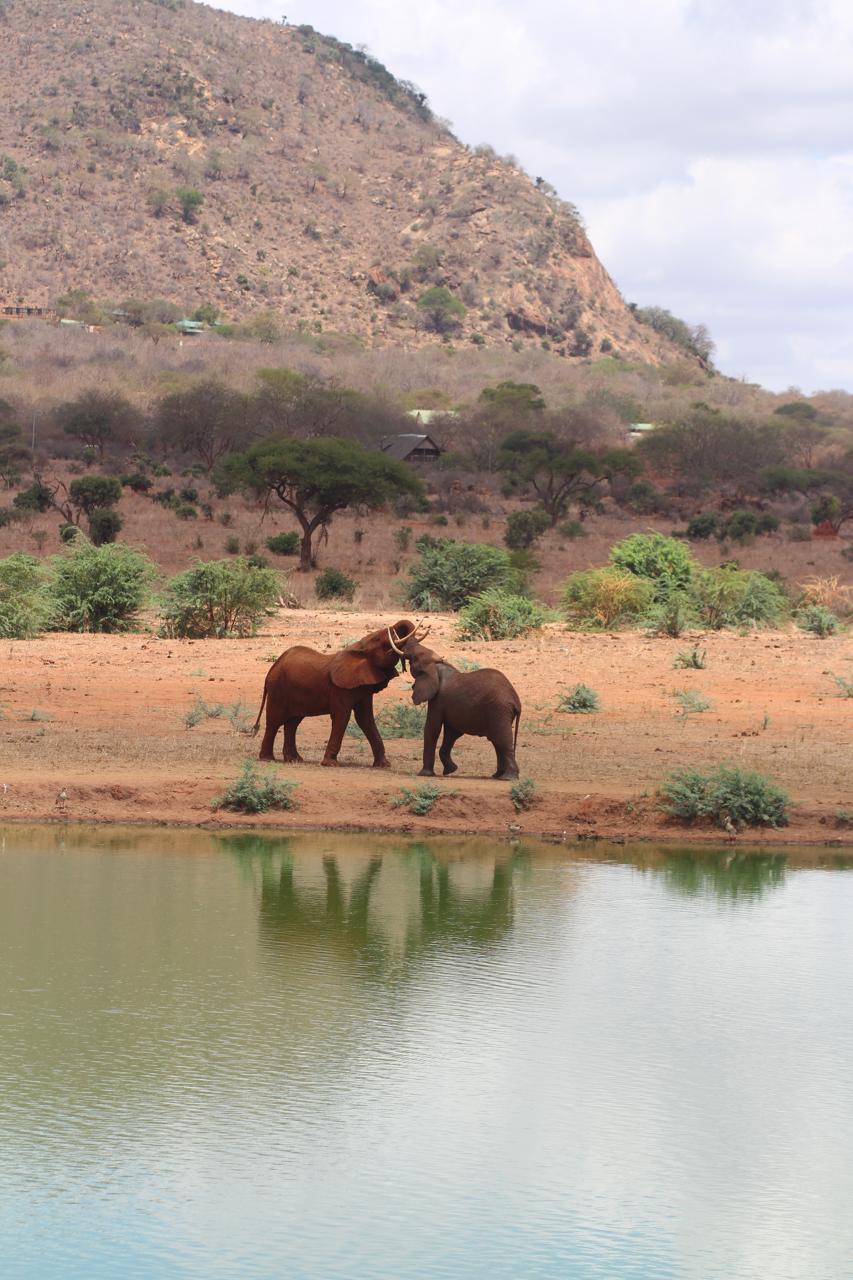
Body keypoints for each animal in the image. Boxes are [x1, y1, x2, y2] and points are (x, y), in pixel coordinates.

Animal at [252, 619, 427, 767]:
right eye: (379, 639)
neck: (358, 649)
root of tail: (272, 668)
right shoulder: (340, 689)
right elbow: (342, 716)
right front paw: (330, 764)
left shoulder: (363, 688)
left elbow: (365, 719)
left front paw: (384, 765)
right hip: (277, 689)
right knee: (274, 722)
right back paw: (268, 759)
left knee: (292, 723)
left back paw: (294, 759)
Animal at [396, 635, 522, 781]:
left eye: (413, 660)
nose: (410, 638)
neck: (437, 666)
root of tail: (516, 701)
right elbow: (452, 733)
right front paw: (450, 770)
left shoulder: (438, 699)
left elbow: (432, 728)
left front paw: (424, 774)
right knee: (497, 740)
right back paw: (497, 775)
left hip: (499, 709)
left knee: (502, 739)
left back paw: (508, 777)